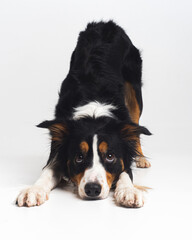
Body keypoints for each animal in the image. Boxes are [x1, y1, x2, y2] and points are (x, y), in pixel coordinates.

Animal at [16, 21, 151, 208]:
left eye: (110, 156)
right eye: (79, 157)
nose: (92, 189)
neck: (94, 112)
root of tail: (107, 23)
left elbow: (125, 172)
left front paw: (128, 191)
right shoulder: (59, 146)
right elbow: (48, 170)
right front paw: (34, 190)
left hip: (135, 90)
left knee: (136, 125)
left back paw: (141, 157)